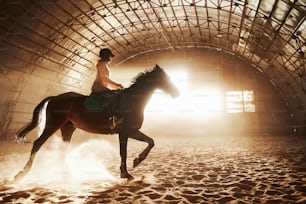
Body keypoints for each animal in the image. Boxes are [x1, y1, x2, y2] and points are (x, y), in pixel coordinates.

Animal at [13, 64, 179, 181]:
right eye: (165, 79)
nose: (177, 93)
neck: (133, 101)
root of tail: (54, 97)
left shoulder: (130, 131)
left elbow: (150, 142)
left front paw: (135, 162)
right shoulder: (126, 131)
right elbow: (125, 152)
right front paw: (127, 172)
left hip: (67, 128)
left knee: (62, 150)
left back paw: (67, 174)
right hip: (52, 125)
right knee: (37, 144)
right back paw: (21, 174)